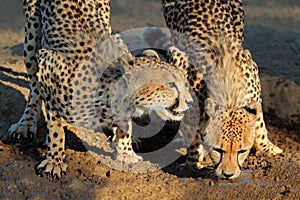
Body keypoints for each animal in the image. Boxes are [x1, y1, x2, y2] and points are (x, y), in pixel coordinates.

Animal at [9, 0, 193, 178]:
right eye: (170, 84)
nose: (190, 101)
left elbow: (125, 126)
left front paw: (126, 152)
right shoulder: (47, 65)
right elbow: (56, 128)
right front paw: (55, 160)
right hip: (32, 35)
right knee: (34, 86)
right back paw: (26, 122)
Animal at [142, 0, 282, 179]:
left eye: (242, 151)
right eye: (217, 149)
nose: (228, 175)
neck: (229, 94)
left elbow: (259, 124)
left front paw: (269, 148)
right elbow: (192, 134)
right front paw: (193, 164)